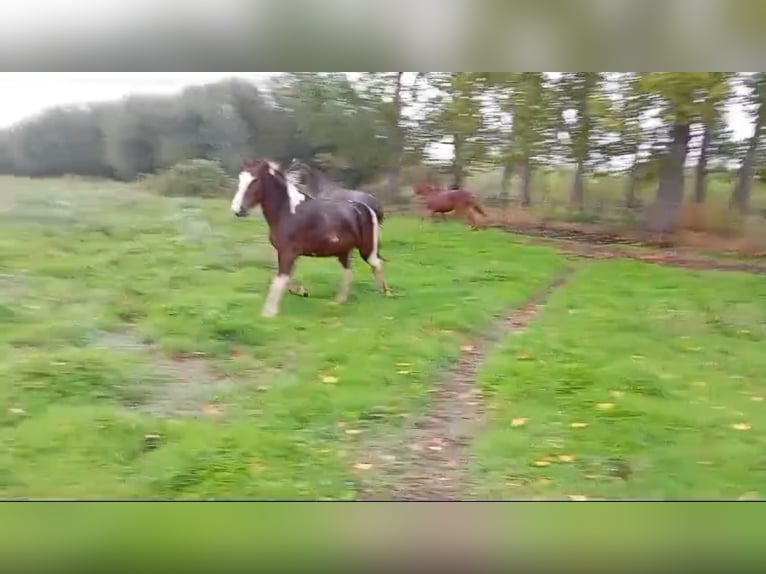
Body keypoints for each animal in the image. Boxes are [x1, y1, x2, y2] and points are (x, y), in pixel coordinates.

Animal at [231, 158, 392, 320]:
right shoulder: (289, 253)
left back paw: (386, 294)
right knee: (349, 272)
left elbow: (280, 279)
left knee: (376, 265)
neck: (287, 212)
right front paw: (301, 291)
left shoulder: (287, 252)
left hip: (367, 250)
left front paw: (269, 312)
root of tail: (367, 208)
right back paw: (338, 301)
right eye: (240, 178)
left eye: (255, 180)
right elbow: (286, 277)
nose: (238, 210)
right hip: (343, 252)